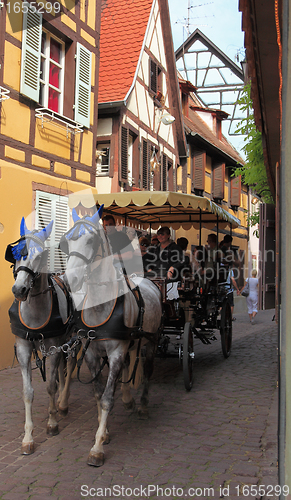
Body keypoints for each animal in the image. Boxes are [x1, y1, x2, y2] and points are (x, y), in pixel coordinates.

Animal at [5, 217, 74, 456]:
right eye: (16, 254)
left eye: (39, 255)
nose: (19, 290)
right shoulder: (24, 349)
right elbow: (28, 392)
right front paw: (28, 438)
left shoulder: (53, 348)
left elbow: (50, 385)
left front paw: (52, 424)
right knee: (61, 370)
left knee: (68, 366)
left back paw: (63, 402)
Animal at [62, 207, 163, 464]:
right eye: (67, 241)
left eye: (91, 240)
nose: (70, 279)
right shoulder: (92, 353)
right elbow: (99, 394)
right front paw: (104, 432)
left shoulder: (116, 350)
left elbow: (108, 397)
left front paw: (97, 447)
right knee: (128, 366)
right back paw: (128, 399)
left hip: (150, 342)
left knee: (148, 371)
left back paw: (142, 406)